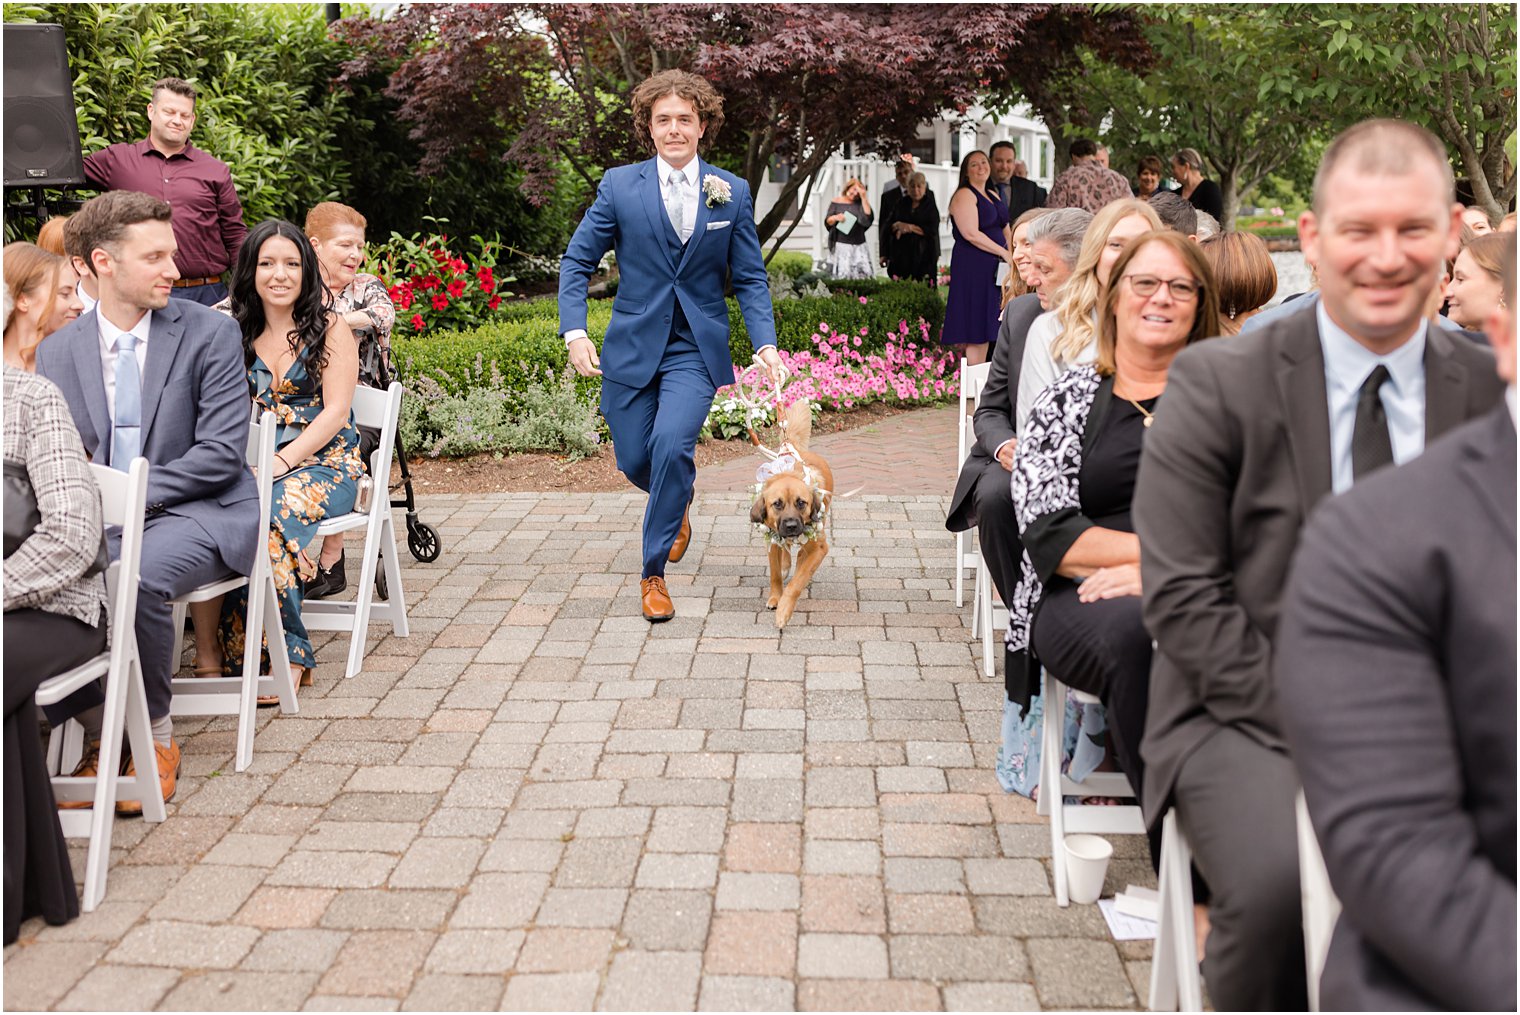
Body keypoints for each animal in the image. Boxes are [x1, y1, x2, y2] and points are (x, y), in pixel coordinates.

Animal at [744, 398, 832, 626]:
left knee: (801, 554)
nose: (792, 525)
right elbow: (775, 573)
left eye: (802, 502)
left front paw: (784, 610)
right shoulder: (771, 538)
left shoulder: (820, 547)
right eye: (777, 504)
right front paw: (775, 597)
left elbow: (798, 581)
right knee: (786, 551)